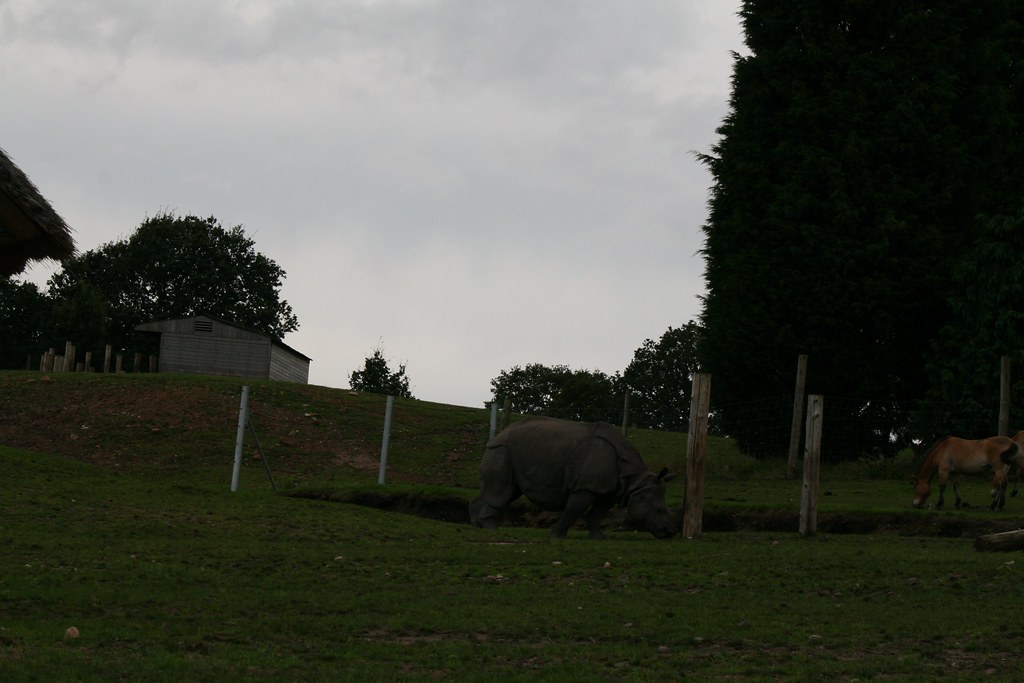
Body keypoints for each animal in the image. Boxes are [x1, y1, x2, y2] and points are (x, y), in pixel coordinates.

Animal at [468, 416, 680, 539]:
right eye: (659, 510)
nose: (671, 532)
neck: (635, 481)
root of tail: (500, 433)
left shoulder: (609, 490)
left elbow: (598, 513)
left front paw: (599, 538)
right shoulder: (585, 486)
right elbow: (574, 510)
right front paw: (556, 536)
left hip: (511, 450)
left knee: (507, 491)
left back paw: (476, 526)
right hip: (501, 449)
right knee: (500, 492)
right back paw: (491, 529)